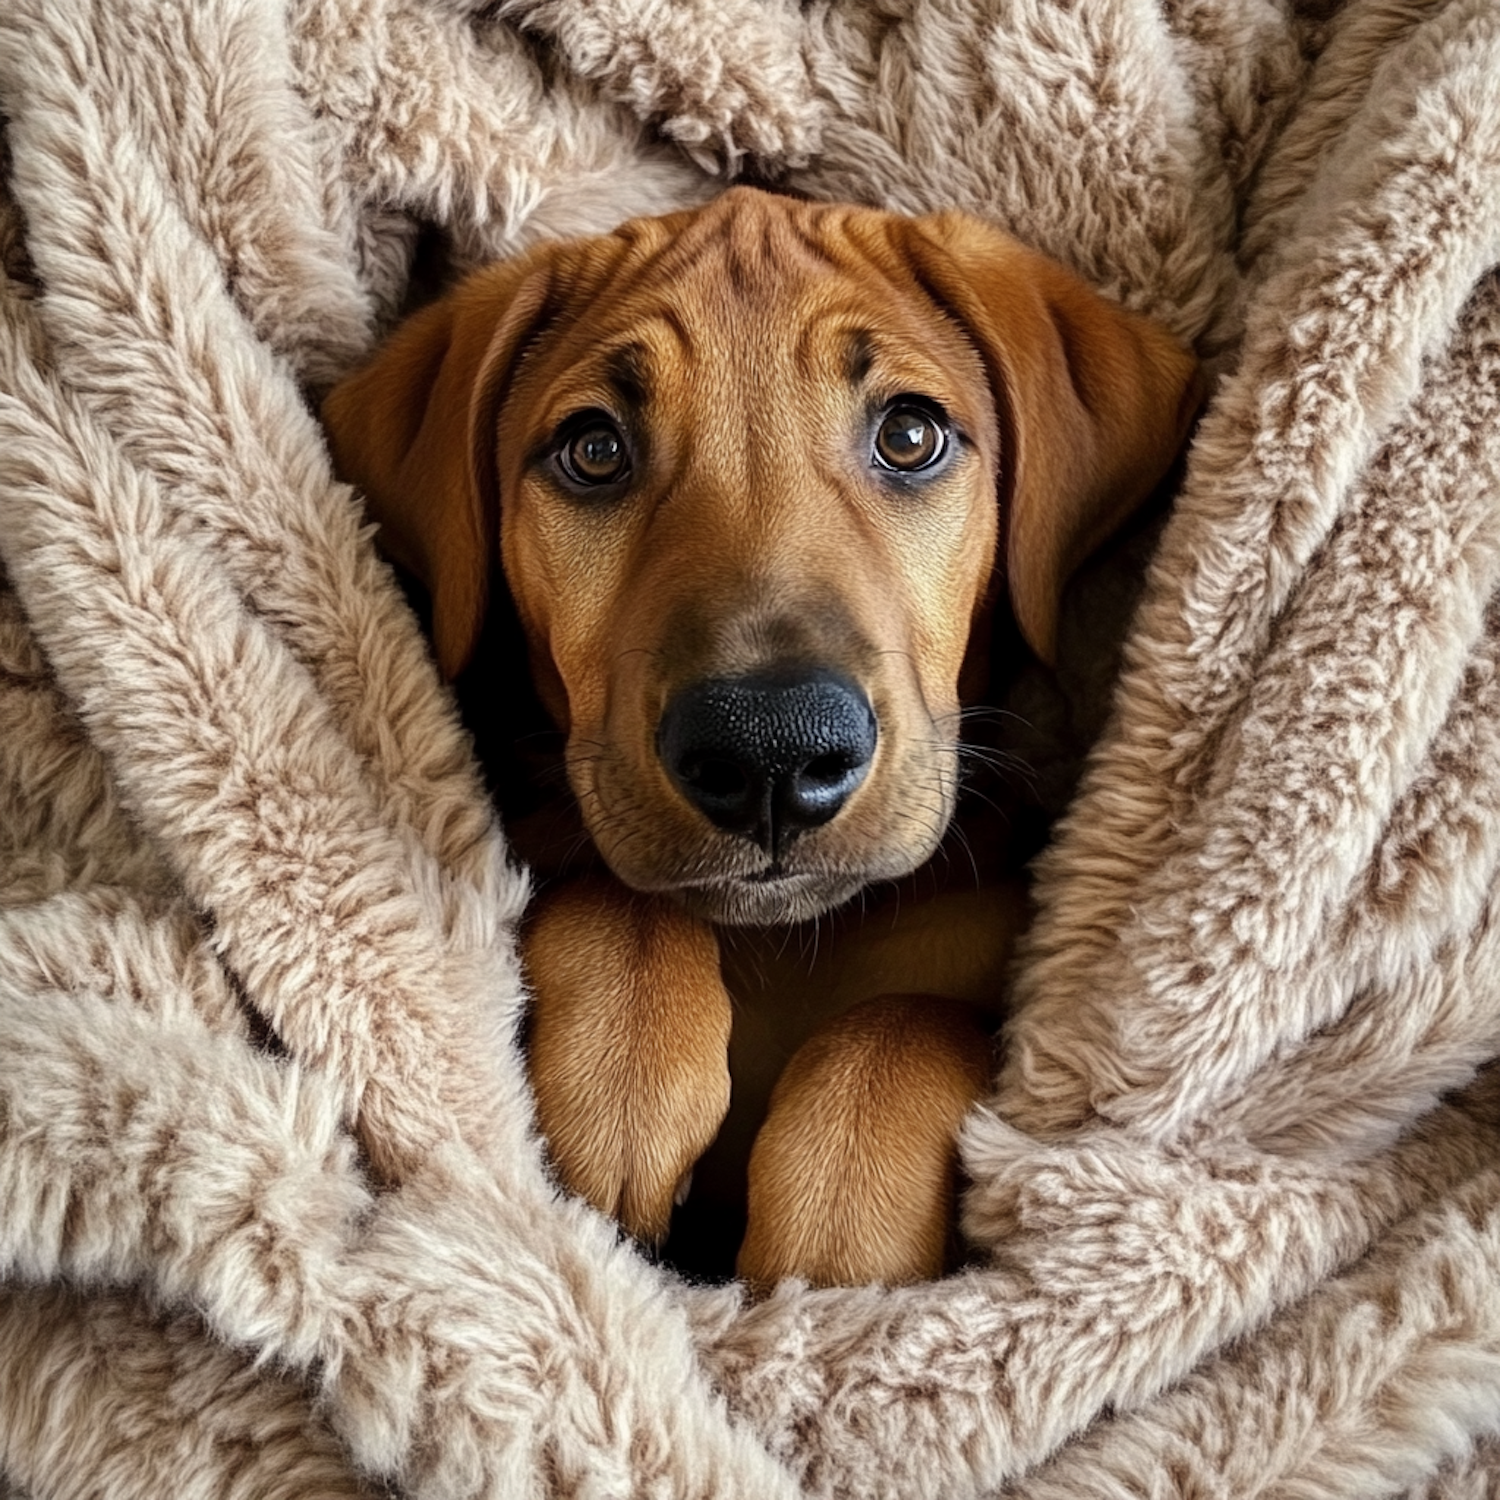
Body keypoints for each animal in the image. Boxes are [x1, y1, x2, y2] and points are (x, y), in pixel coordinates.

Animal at [322, 187, 1200, 1290]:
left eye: (910, 435)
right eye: (594, 450)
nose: (769, 752)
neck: (785, 944)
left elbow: (917, 1020)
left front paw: (840, 1211)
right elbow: (618, 891)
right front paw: (624, 1077)